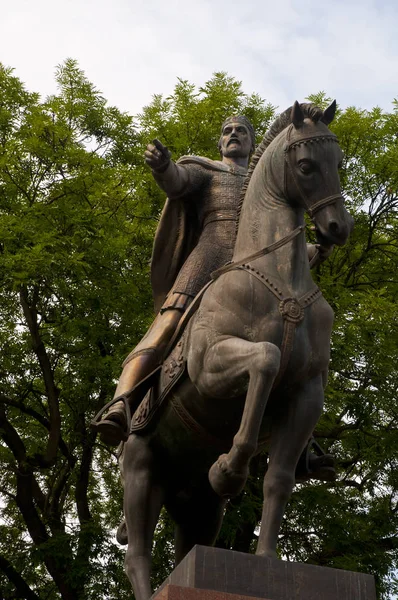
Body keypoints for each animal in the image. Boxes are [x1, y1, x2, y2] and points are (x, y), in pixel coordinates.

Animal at [119, 101, 352, 596]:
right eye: (306, 165)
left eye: (339, 163)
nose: (338, 228)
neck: (280, 279)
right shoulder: (210, 366)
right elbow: (266, 358)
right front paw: (229, 468)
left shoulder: (307, 394)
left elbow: (279, 481)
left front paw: (266, 563)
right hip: (141, 471)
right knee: (137, 556)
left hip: (197, 504)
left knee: (187, 546)